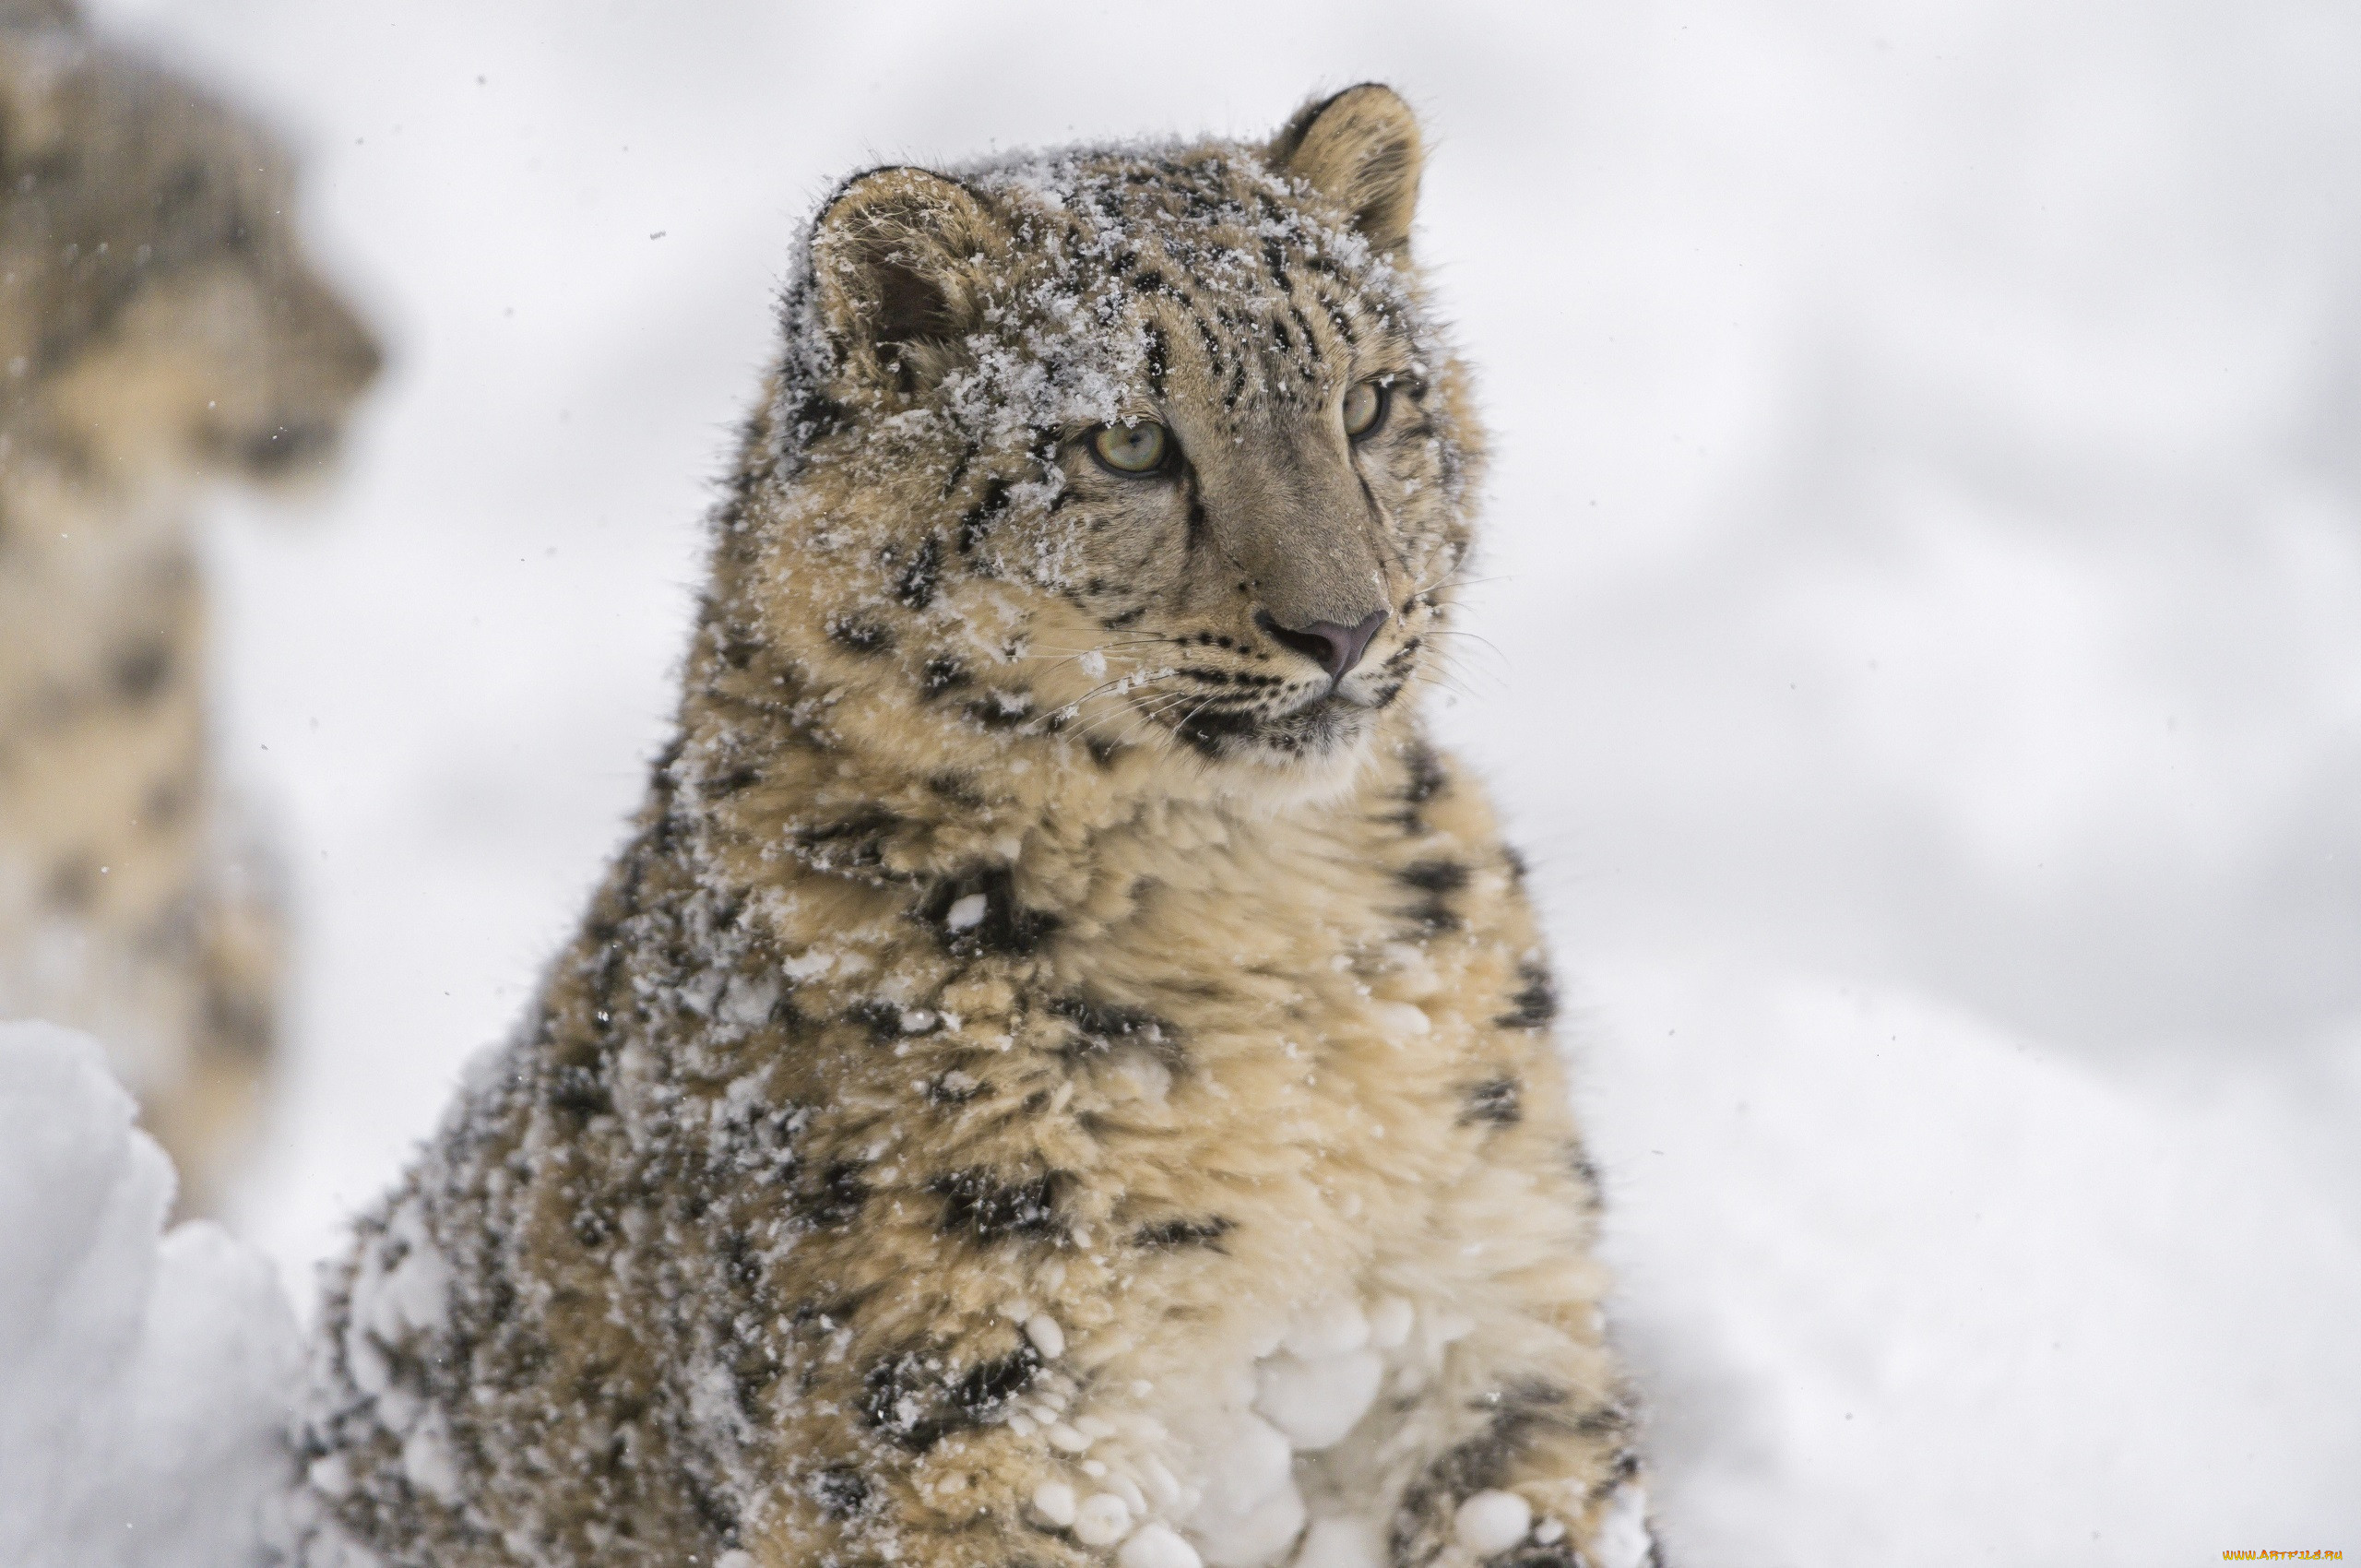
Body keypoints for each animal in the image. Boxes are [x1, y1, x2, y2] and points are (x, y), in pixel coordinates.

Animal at [295, 82, 1662, 1568]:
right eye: (1127, 440)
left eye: (1368, 400)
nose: (1344, 623)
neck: (1268, 927)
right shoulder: (949, 1396)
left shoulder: (1490, 1299)